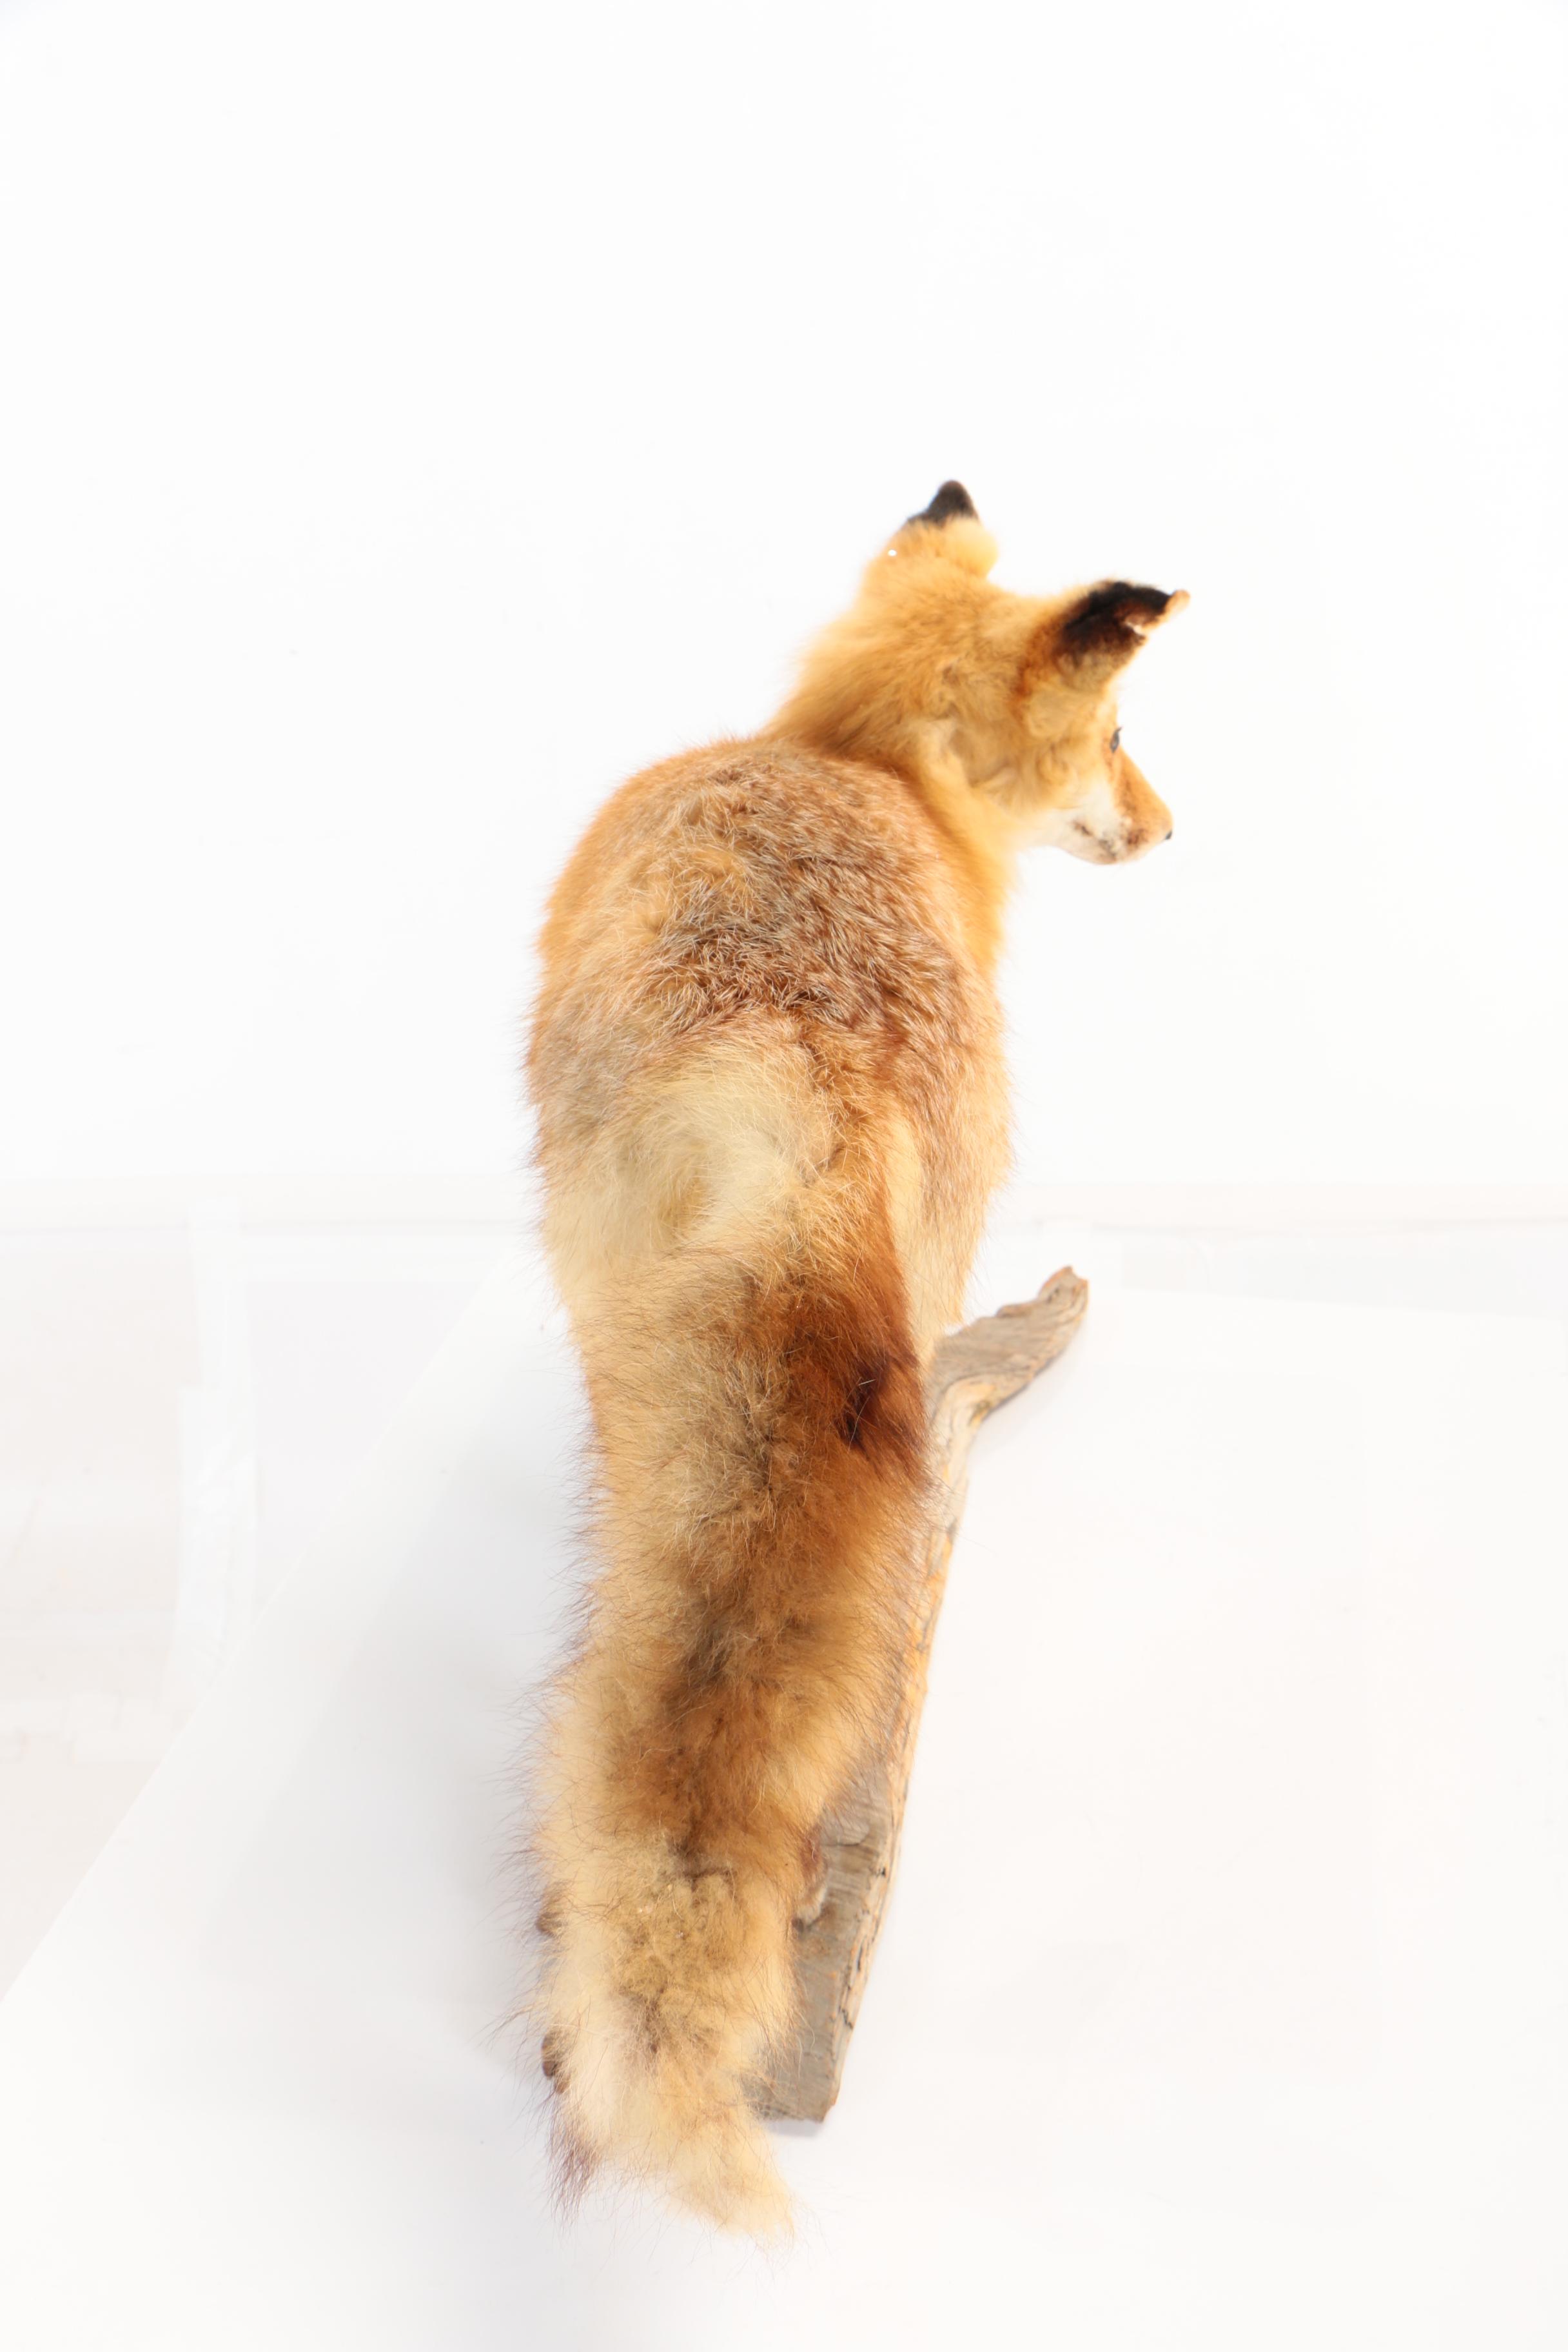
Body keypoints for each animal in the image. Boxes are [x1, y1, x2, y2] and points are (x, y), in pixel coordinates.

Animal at [525, 482, 1185, 2238]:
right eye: (1118, 736)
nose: (1167, 829)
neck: (857, 765)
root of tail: (787, 1051)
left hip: (631, 1344)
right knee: (885, 1637)